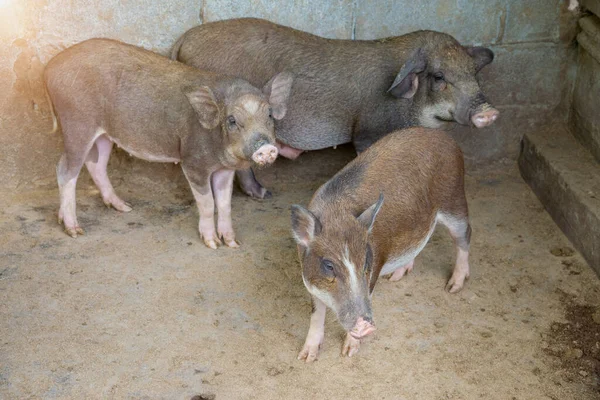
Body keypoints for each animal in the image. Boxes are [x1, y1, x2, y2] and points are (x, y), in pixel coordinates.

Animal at [44, 39, 292, 248]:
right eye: (232, 120)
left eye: (270, 115)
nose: (267, 147)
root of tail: (49, 68)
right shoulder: (193, 162)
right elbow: (207, 203)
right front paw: (212, 244)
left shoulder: (224, 169)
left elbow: (224, 204)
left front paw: (232, 243)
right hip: (77, 124)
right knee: (65, 169)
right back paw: (75, 230)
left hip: (104, 134)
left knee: (96, 164)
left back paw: (125, 208)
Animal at [292, 127, 472, 360]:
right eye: (329, 265)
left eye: (366, 263)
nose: (366, 325)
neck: (337, 215)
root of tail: (444, 136)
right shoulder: (309, 281)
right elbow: (316, 314)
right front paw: (306, 357)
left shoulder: (374, 270)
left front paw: (348, 353)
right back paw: (396, 277)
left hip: (454, 200)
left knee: (464, 235)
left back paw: (453, 287)